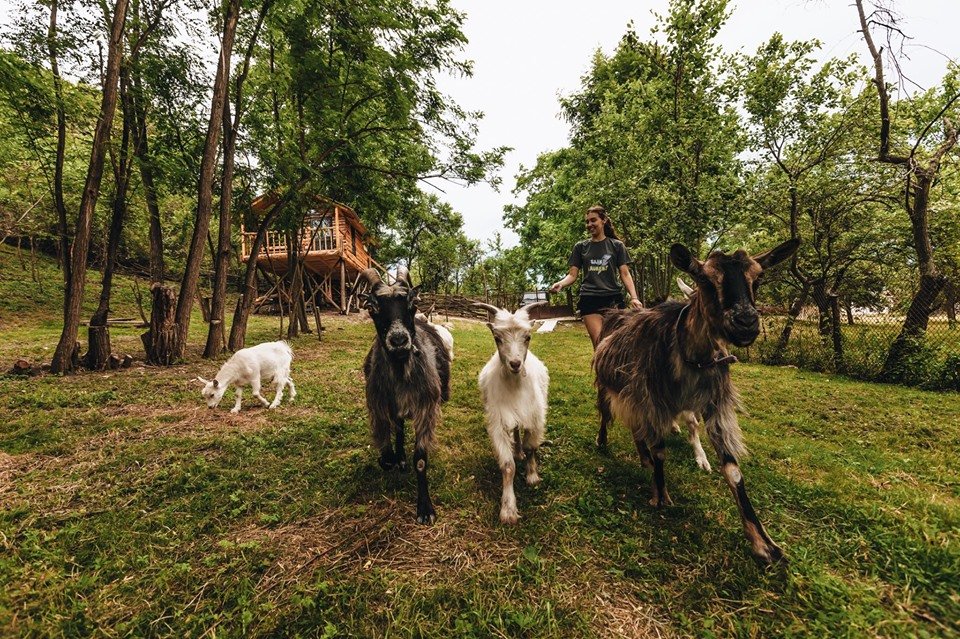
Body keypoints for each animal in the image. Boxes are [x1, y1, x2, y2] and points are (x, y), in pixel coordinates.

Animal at [360, 268, 450, 524]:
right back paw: (399, 457)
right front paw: (390, 459)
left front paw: (425, 509)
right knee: (399, 428)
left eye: (412, 303)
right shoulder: (380, 406)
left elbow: (420, 460)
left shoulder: (426, 408)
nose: (399, 340)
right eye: (372, 307)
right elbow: (388, 450)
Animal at [474, 300, 548, 524]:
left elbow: (532, 447)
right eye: (497, 338)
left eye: (528, 337)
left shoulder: (534, 416)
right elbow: (508, 466)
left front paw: (532, 476)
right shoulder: (499, 421)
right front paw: (508, 509)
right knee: (515, 431)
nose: (515, 364)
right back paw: (517, 451)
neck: (515, 386)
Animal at [592, 240, 804, 564]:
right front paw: (660, 495)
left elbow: (732, 470)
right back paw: (604, 442)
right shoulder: (654, 399)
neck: (691, 357)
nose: (745, 322)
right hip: (609, 386)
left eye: (757, 278)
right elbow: (661, 451)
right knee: (608, 414)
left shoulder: (715, 404)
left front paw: (764, 545)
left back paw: (643, 459)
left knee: (636, 428)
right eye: (705, 279)